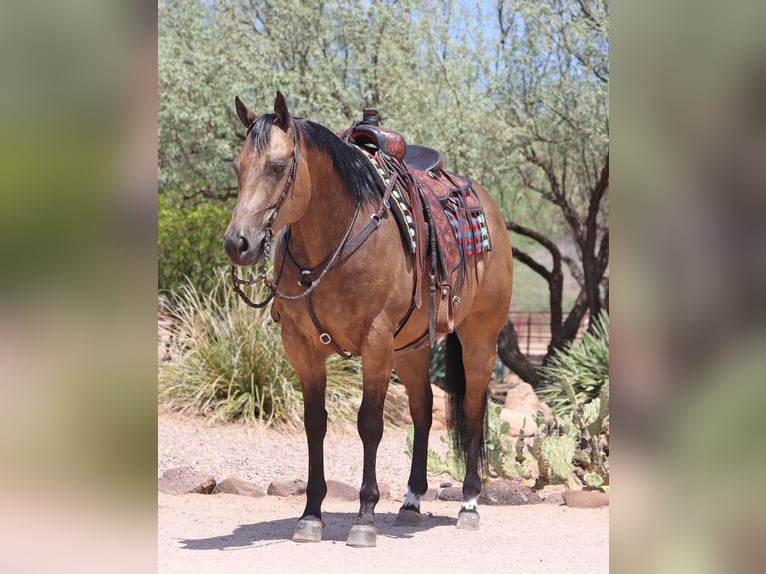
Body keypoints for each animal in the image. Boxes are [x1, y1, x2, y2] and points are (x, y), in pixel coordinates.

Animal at [225, 91, 520, 548]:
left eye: (276, 166)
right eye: (238, 167)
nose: (237, 244)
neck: (334, 239)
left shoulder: (376, 342)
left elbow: (370, 424)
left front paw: (364, 518)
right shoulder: (302, 347)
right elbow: (315, 424)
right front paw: (311, 516)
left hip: (479, 339)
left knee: (472, 409)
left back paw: (469, 504)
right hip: (412, 347)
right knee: (423, 409)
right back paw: (411, 503)